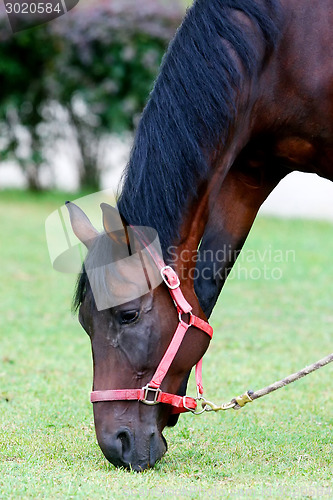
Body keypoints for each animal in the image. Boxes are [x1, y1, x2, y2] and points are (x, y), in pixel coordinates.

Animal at [65, 0, 332, 470]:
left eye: (128, 315)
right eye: (84, 322)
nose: (116, 444)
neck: (281, 49)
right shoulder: (248, 172)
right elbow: (204, 285)